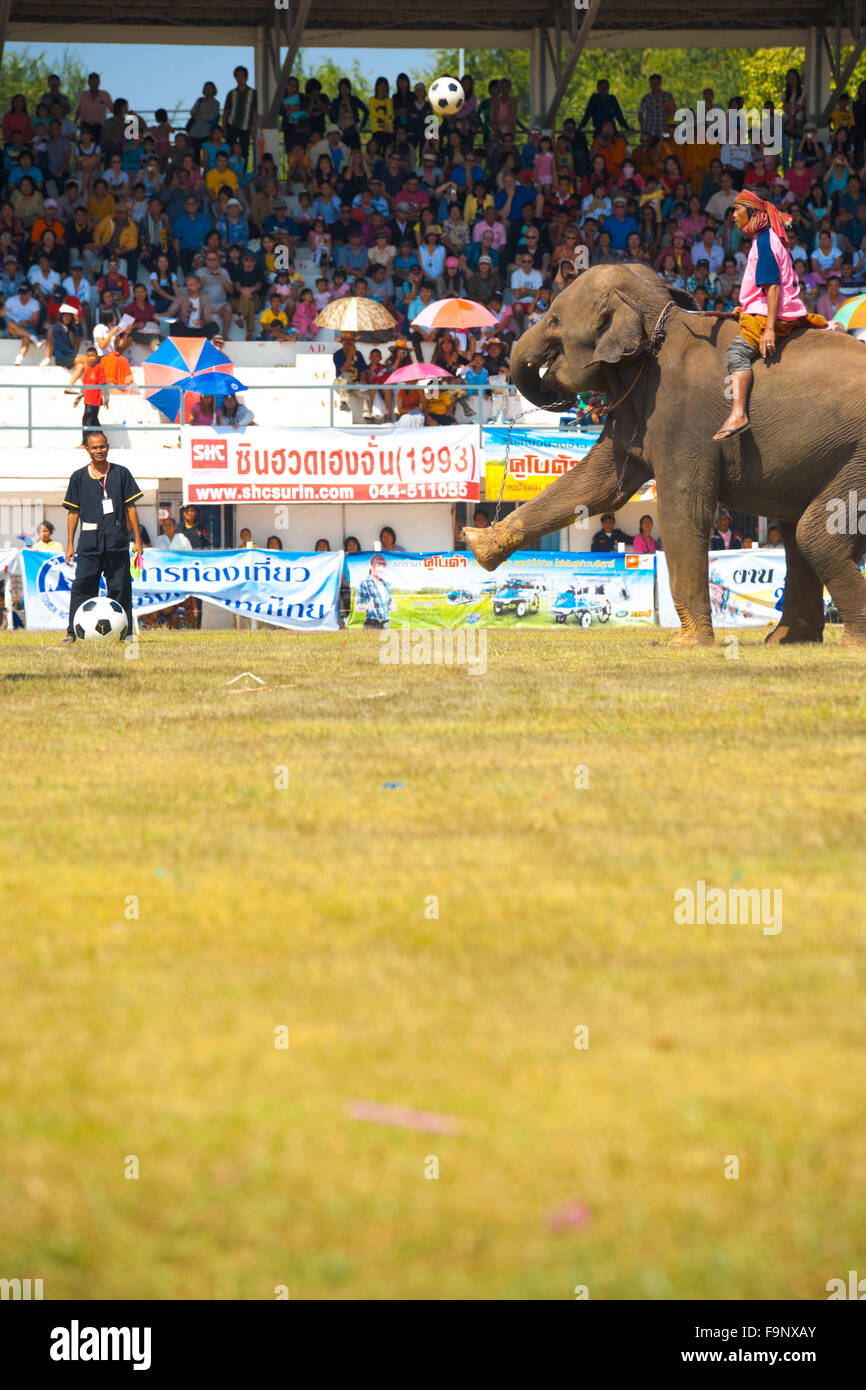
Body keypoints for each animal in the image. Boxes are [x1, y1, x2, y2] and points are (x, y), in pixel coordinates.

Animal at [464, 262, 866, 642]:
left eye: (555, 320)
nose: (562, 400)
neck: (658, 315)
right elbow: (600, 486)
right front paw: (479, 544)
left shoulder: (685, 420)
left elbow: (683, 507)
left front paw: (687, 643)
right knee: (799, 535)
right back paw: (786, 640)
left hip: (856, 456)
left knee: (817, 535)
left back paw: (846, 642)